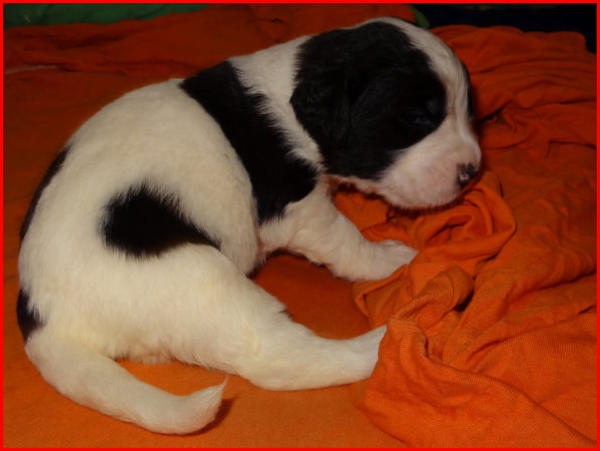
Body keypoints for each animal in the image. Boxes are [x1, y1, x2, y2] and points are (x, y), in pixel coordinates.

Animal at [17, 17, 480, 434]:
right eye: (418, 119)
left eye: (466, 110)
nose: (472, 172)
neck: (293, 99)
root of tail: (44, 322)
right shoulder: (299, 210)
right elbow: (346, 241)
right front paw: (390, 259)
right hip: (203, 282)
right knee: (279, 357)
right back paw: (390, 339)